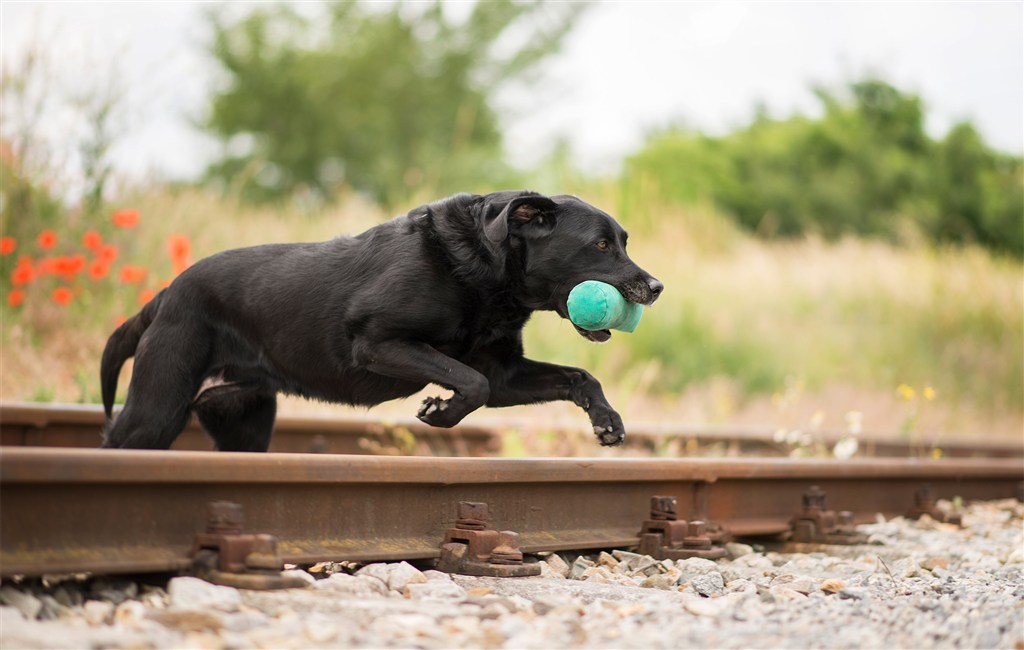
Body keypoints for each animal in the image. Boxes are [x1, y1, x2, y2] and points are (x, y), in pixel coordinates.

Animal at [101, 190, 663, 450]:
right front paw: (440, 411)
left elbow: (577, 376)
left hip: (245, 418)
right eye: (600, 245)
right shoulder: (377, 342)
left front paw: (607, 421)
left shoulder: (506, 373)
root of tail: (166, 294)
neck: (483, 267)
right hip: (157, 408)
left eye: (624, 241)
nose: (655, 287)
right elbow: (470, 381)